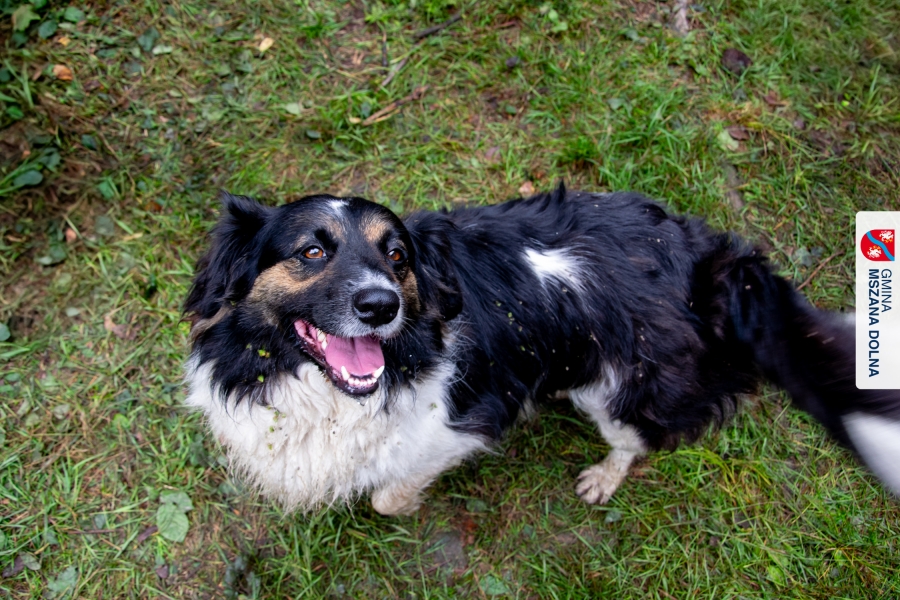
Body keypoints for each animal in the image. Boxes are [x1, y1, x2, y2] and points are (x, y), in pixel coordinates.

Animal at [184, 184, 900, 515]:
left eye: (397, 256)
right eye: (312, 251)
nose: (381, 305)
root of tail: (711, 261)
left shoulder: (461, 425)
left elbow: (389, 492)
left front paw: (403, 501)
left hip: (623, 390)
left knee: (636, 439)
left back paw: (603, 475)